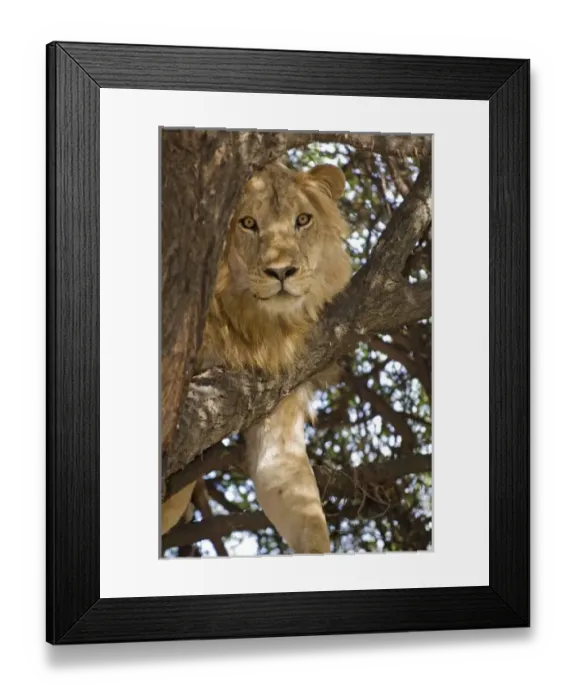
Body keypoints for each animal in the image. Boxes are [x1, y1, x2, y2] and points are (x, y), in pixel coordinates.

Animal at [162, 160, 352, 554]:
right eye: (248, 223)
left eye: (303, 220)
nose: (281, 272)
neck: (255, 324)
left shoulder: (276, 409)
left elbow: (309, 517)